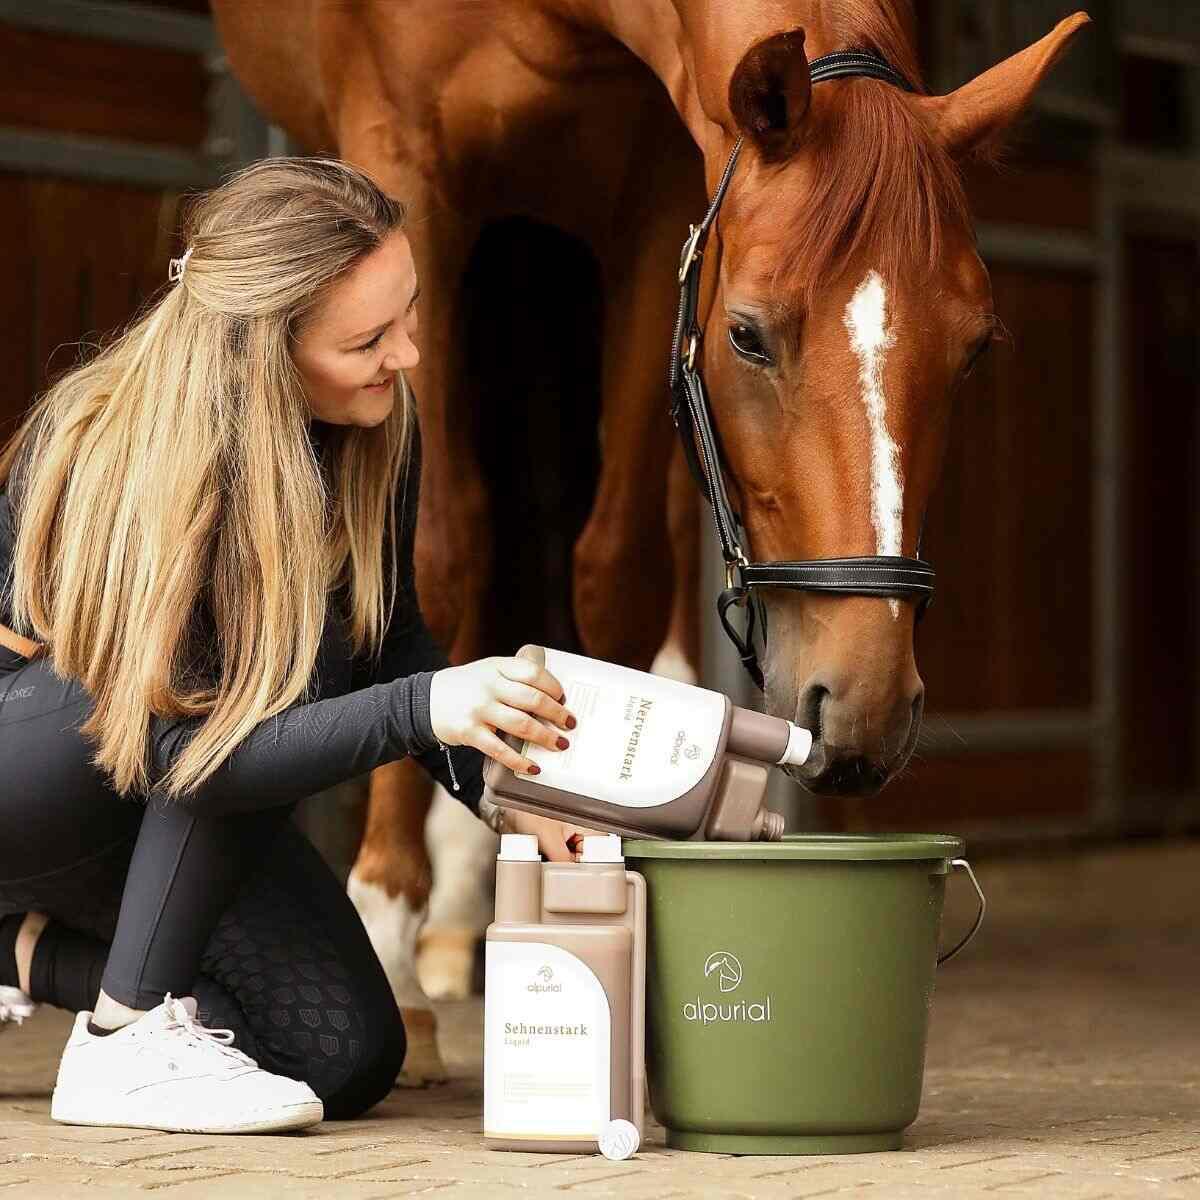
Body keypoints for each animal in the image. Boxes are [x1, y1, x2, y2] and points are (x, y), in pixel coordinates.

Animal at [211, 0, 1088, 1082]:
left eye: (974, 349)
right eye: (748, 335)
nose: (867, 704)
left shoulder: (656, 209)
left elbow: (617, 564)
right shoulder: (408, 164)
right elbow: (430, 559)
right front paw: (387, 934)